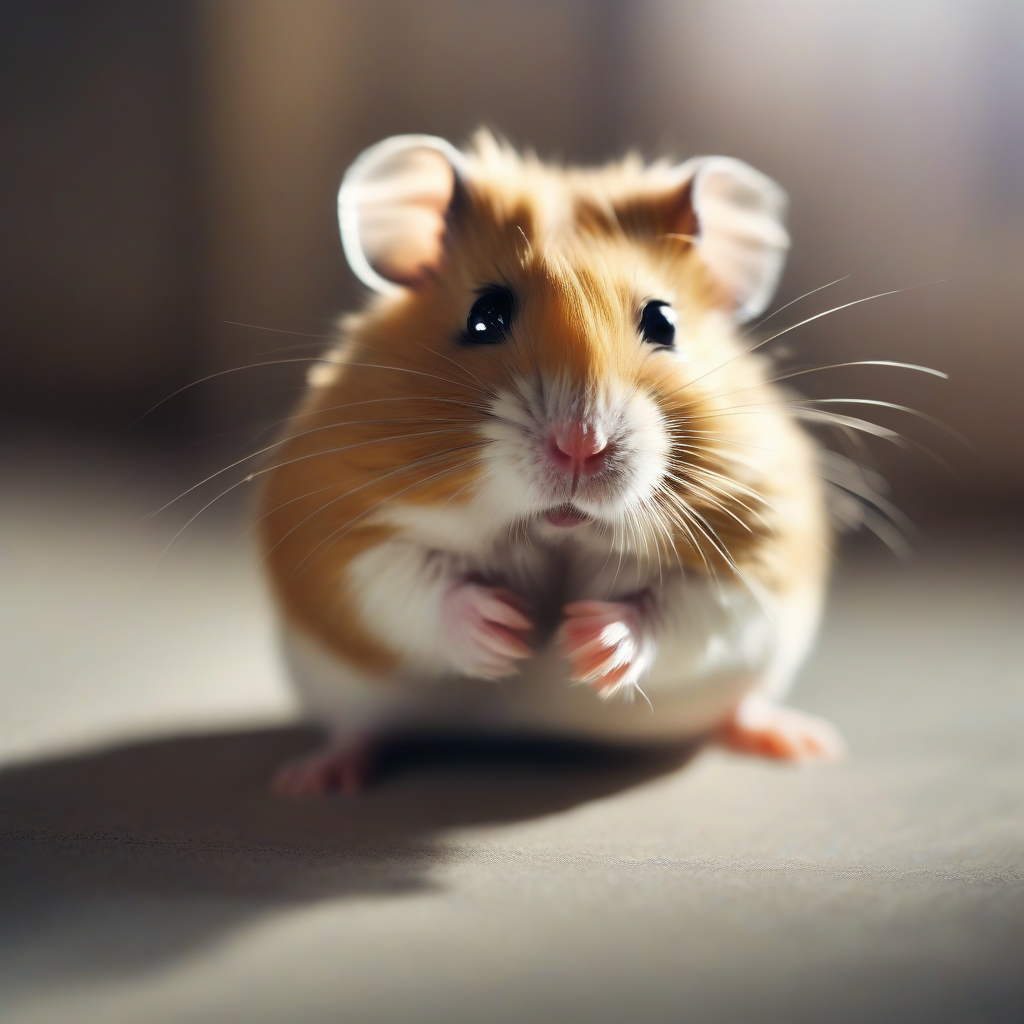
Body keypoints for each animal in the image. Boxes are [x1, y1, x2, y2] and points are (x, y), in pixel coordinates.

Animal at [258, 130, 844, 795]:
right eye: (484, 316)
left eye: (664, 322)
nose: (580, 445)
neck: (557, 532)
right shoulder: (343, 538)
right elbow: (412, 583)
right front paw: (510, 634)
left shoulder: (756, 554)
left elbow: (685, 611)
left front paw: (581, 644)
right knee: (357, 728)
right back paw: (315, 779)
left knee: (740, 704)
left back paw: (801, 743)